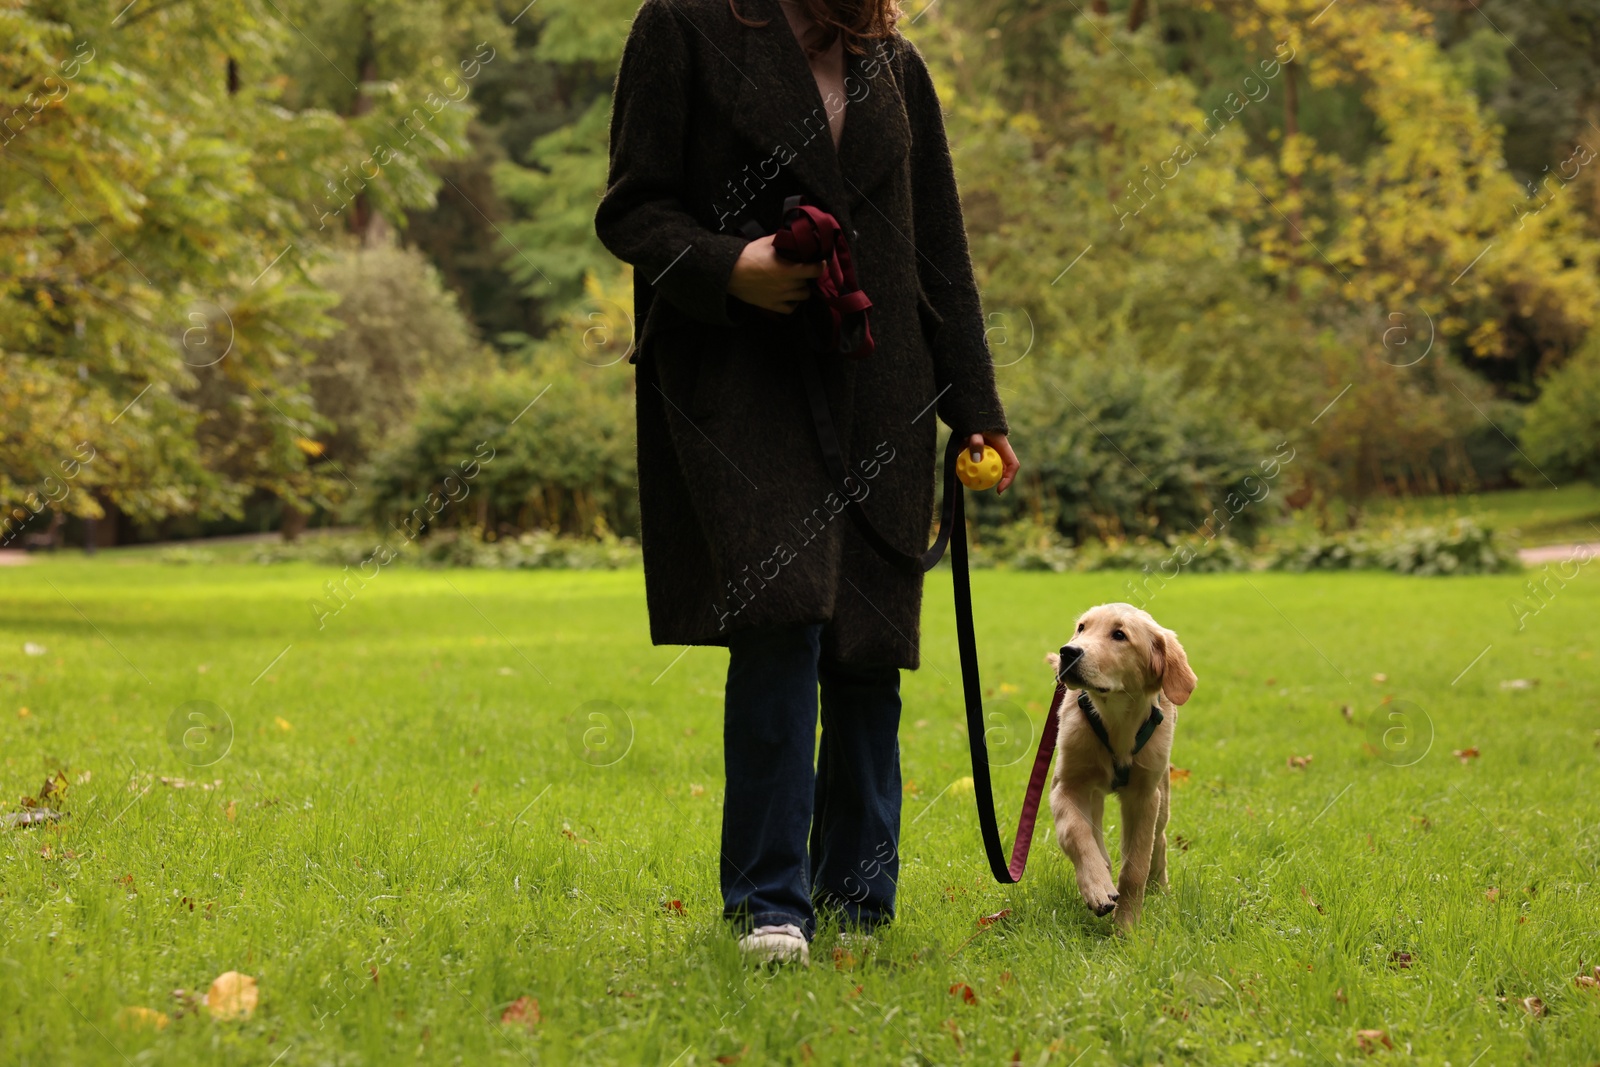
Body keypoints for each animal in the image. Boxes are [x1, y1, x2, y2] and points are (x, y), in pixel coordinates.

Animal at [1043, 604, 1196, 927]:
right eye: (1082, 628)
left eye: (1119, 635)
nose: (1068, 652)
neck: (1114, 717)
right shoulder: (1066, 786)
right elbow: (1076, 833)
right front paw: (1097, 887)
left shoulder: (1144, 797)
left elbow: (1135, 866)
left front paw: (1127, 926)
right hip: (1092, 792)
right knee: (1094, 830)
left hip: (1163, 794)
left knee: (1159, 839)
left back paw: (1159, 887)